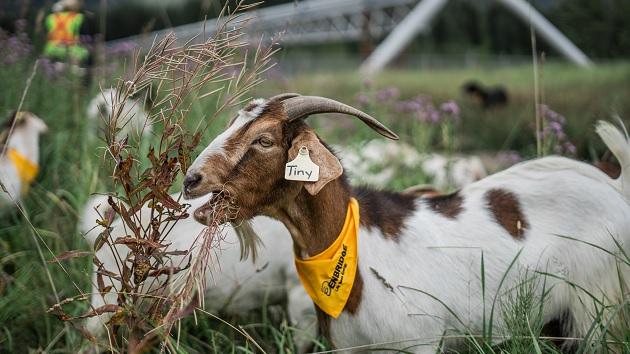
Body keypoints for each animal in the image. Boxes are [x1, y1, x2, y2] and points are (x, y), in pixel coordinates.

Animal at [181, 92, 630, 352]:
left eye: (264, 140)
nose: (191, 180)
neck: (357, 254)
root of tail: (614, 185)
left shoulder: (421, 342)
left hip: (597, 313)